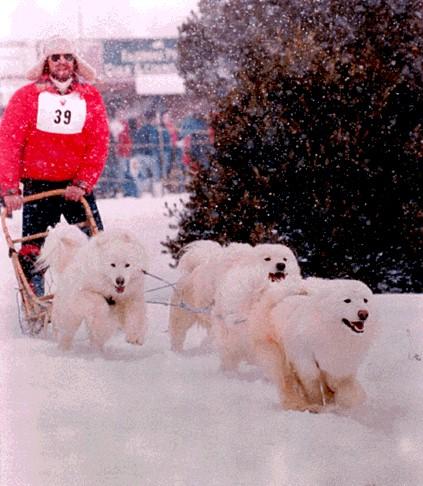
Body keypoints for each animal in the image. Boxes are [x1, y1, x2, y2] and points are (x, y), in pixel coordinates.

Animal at [39, 222, 149, 352]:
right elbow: (99, 302)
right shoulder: (82, 293)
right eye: (112, 265)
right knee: (66, 334)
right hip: (69, 315)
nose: (120, 281)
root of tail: (69, 263)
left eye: (127, 265)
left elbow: (135, 316)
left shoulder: (132, 297)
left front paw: (135, 338)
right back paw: (64, 349)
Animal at [247, 280, 380, 412]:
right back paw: (296, 404)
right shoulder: (305, 359)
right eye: (347, 300)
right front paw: (317, 406)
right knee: (286, 380)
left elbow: (343, 384)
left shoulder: (342, 362)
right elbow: (312, 385)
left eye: (365, 300)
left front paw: (343, 400)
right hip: (278, 355)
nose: (364, 314)